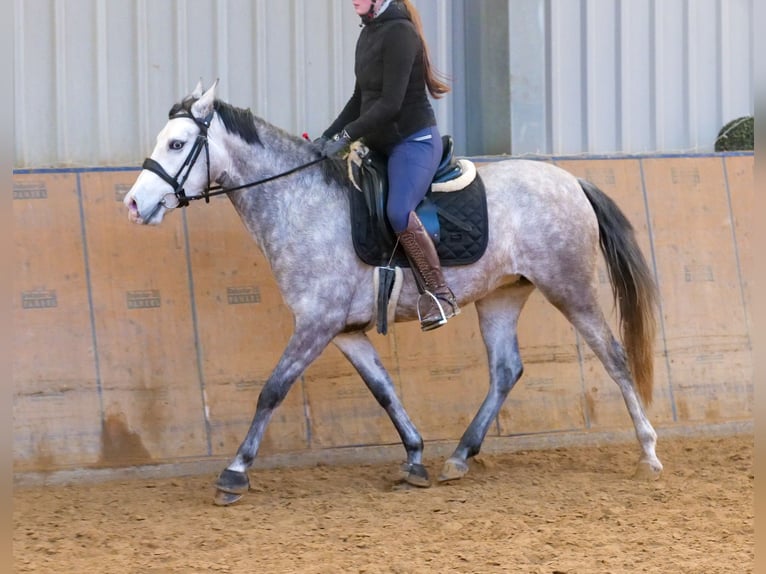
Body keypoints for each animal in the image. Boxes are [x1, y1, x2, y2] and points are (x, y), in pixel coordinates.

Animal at [123, 79, 664, 506]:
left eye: (177, 144)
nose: (133, 204)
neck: (302, 203)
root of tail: (571, 180)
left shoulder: (317, 324)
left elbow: (272, 390)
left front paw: (234, 473)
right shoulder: (344, 331)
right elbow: (383, 390)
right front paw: (416, 458)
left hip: (570, 287)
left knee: (615, 357)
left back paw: (648, 453)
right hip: (502, 296)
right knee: (506, 370)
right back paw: (459, 457)